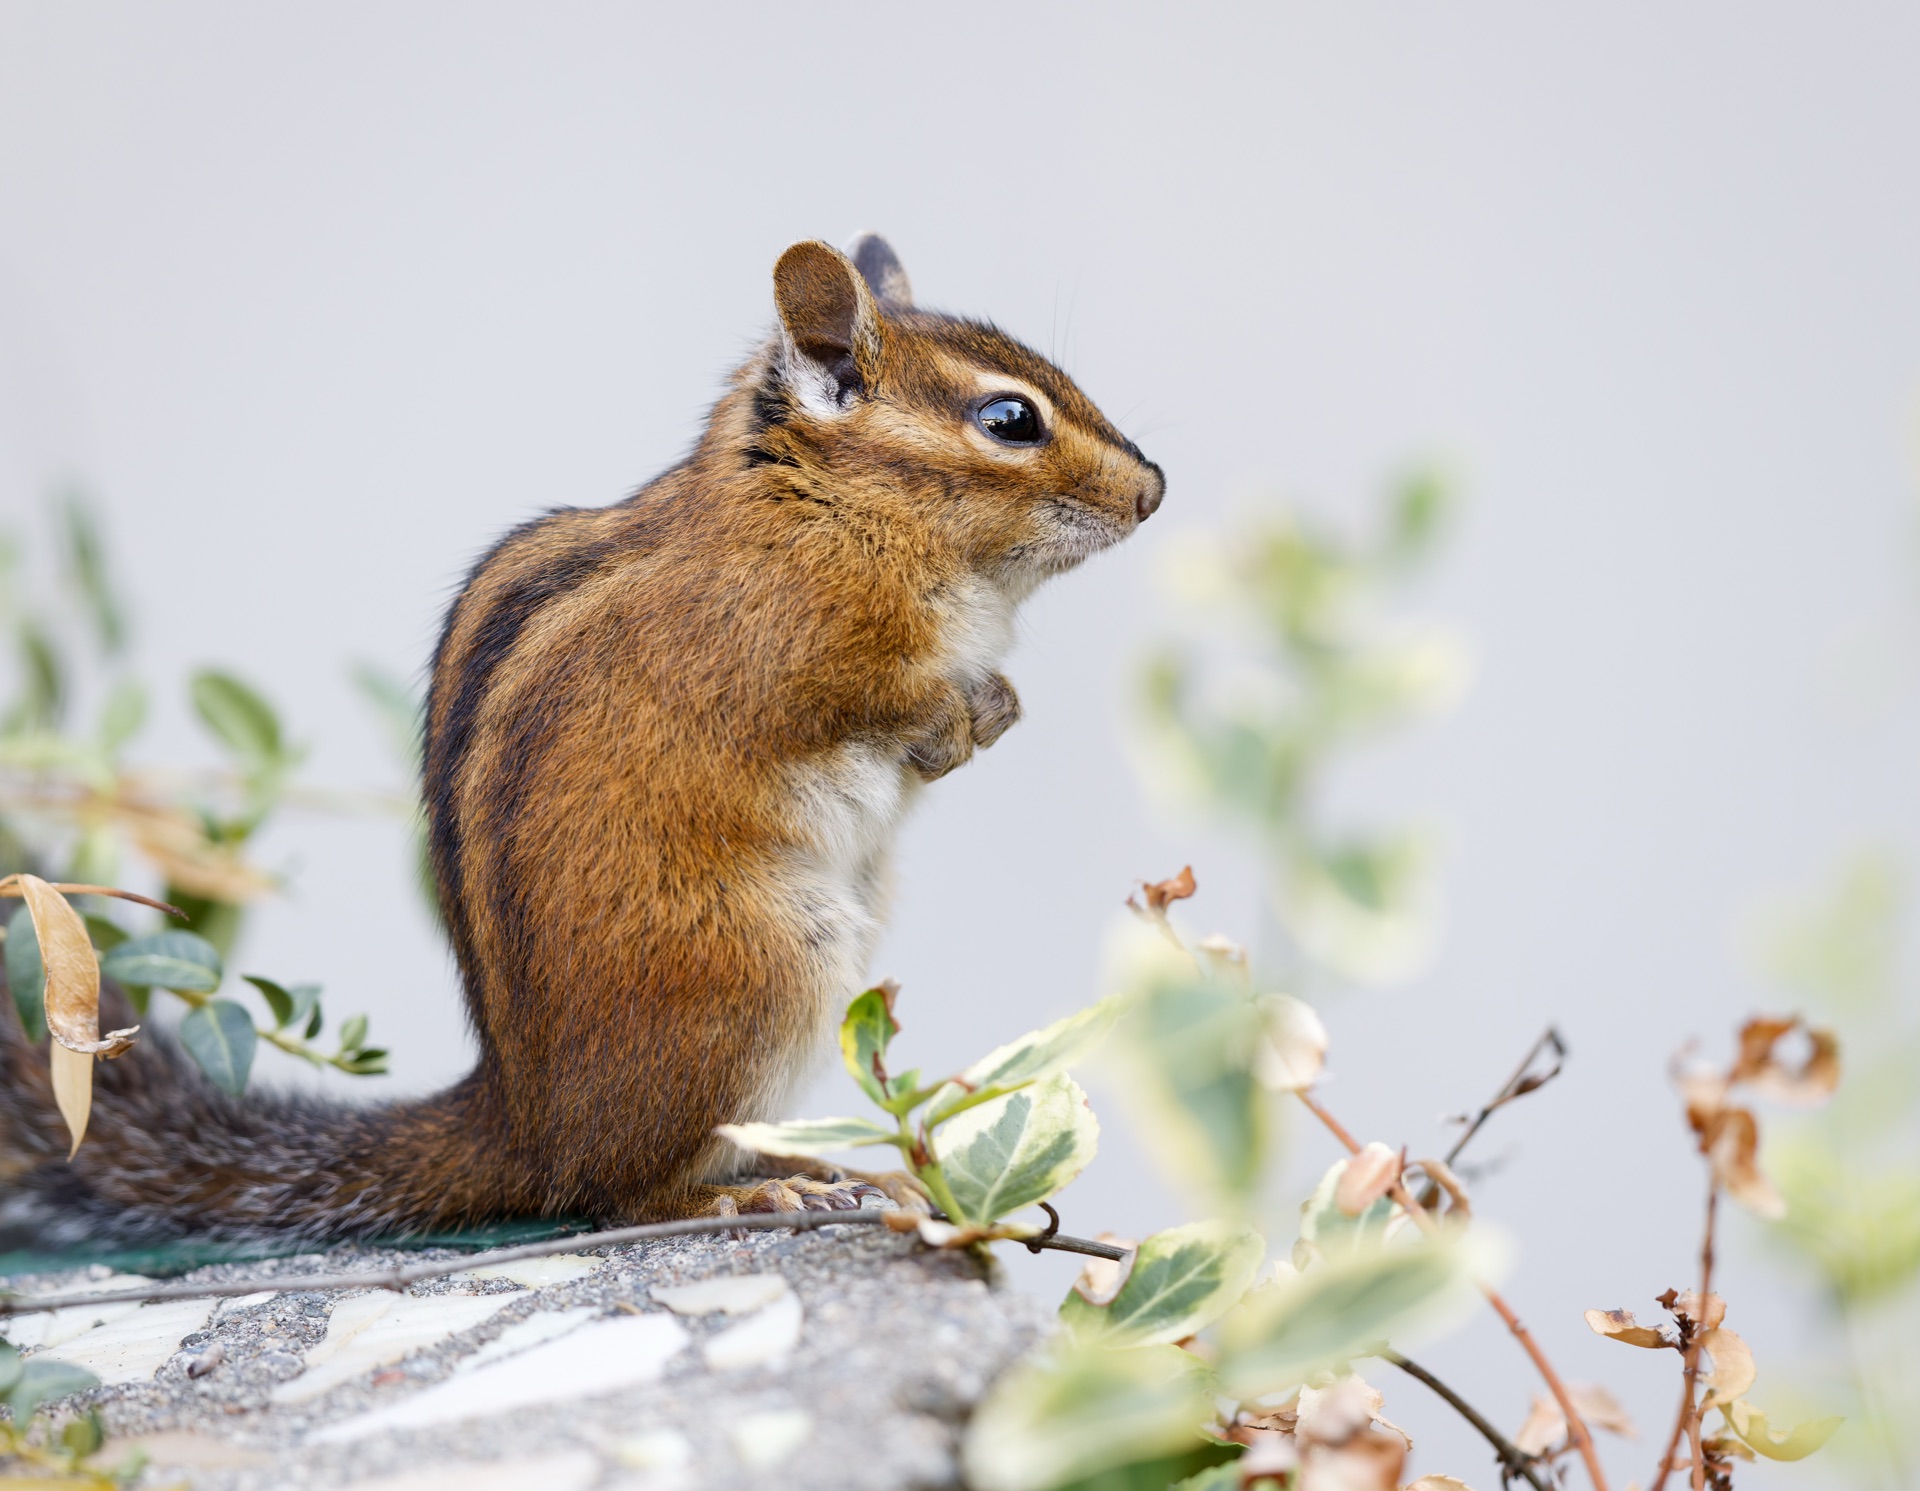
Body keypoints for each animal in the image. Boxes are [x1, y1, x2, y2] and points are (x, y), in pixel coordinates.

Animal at [0, 235, 1163, 1246]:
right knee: (621, 1191)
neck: (825, 506)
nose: (1154, 488)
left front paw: (995, 707)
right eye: (1010, 419)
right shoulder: (802, 650)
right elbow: (867, 703)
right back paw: (750, 1195)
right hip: (756, 973)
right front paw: (960, 711)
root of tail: (521, 1125)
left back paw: (826, 1166)